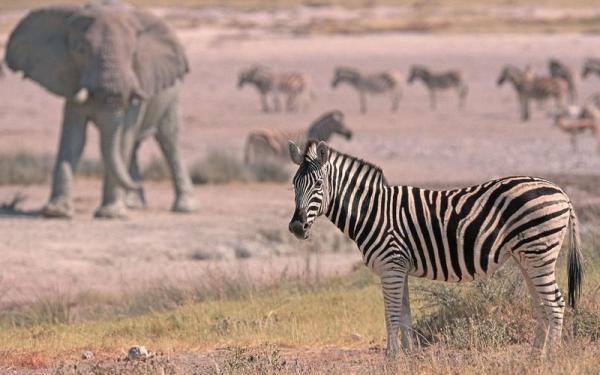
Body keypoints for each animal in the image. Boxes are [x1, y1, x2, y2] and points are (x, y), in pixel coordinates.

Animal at [4, 2, 197, 220]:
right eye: (81, 50)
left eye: (133, 54)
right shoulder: (72, 79)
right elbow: (74, 138)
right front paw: (57, 212)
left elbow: (121, 139)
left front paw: (110, 214)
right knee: (134, 147)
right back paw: (133, 203)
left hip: (172, 93)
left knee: (168, 140)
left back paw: (184, 207)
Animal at [288, 140, 584, 358]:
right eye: (293, 185)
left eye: (318, 184)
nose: (296, 227)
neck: (372, 211)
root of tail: (561, 192)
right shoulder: (399, 267)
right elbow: (405, 316)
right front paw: (407, 360)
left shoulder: (391, 265)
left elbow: (391, 315)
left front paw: (390, 360)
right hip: (528, 258)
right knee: (541, 304)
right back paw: (534, 358)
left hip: (539, 252)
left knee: (555, 303)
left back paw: (551, 359)